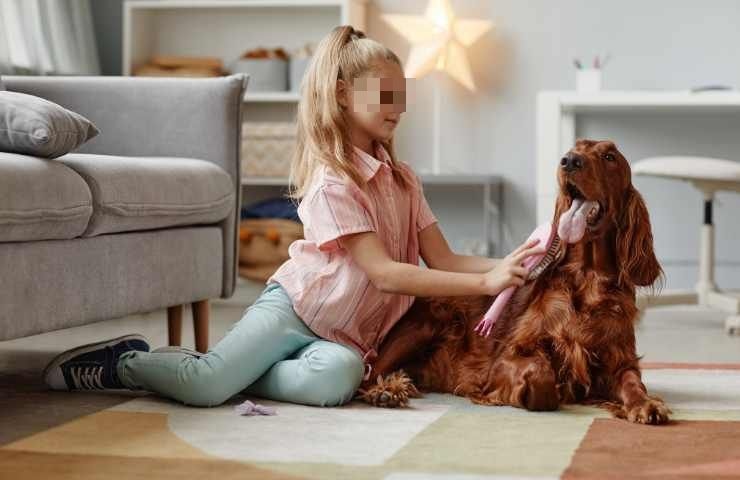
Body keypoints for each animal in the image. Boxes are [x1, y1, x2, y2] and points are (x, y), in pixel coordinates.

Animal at [358, 141, 672, 426]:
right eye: (576, 147)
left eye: (609, 157)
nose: (569, 160)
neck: (587, 278)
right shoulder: (507, 356)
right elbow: (541, 374)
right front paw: (526, 393)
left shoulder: (618, 359)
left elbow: (633, 382)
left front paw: (646, 405)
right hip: (425, 323)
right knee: (366, 376)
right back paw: (387, 391)